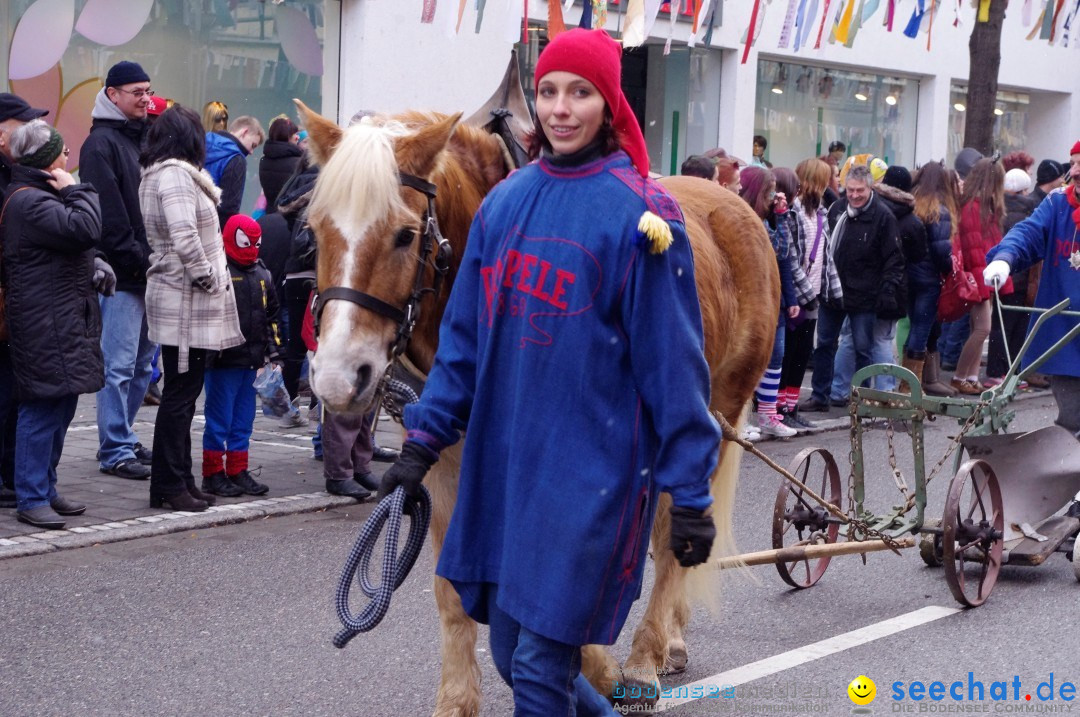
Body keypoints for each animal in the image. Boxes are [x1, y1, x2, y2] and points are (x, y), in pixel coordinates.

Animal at [295, 102, 781, 717]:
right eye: (314, 232)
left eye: (406, 235)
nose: (337, 378)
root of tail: (735, 204)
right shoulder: (445, 455)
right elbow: (450, 588)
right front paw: (457, 700)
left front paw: (594, 664)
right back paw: (670, 638)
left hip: (712, 412)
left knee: (675, 531)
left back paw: (644, 658)